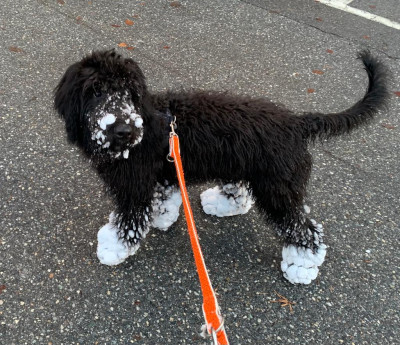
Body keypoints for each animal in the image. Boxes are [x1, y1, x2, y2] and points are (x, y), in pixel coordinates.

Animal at [54, 49, 388, 284]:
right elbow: (162, 198)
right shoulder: (163, 172)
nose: (124, 130)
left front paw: (114, 246)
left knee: (304, 229)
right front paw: (163, 216)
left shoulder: (134, 186)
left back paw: (302, 266)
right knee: (243, 195)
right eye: (96, 91)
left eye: (131, 93)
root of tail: (297, 122)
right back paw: (221, 203)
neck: (147, 125)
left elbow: (131, 219)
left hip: (278, 187)